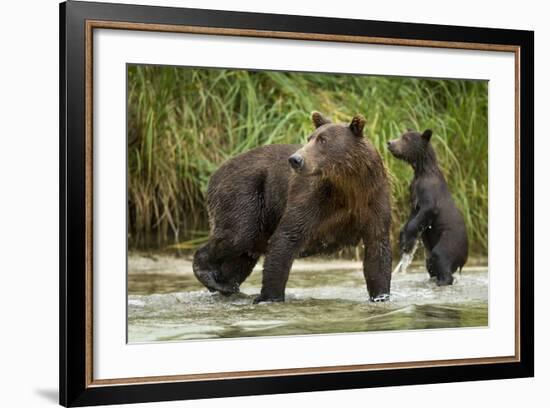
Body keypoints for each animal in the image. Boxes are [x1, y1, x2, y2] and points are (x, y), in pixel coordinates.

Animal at [193, 111, 392, 302]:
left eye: (323, 140)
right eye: (310, 138)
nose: (296, 159)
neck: (349, 186)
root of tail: (216, 172)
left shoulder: (373, 200)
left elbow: (377, 250)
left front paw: (380, 295)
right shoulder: (313, 198)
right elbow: (287, 236)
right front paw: (270, 296)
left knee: (243, 256)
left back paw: (226, 285)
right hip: (244, 193)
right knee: (239, 235)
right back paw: (210, 276)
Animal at [388, 129, 470, 286]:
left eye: (405, 138)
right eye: (401, 135)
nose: (390, 142)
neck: (421, 170)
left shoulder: (428, 189)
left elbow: (428, 210)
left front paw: (407, 241)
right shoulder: (413, 191)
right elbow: (413, 214)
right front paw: (403, 238)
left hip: (451, 240)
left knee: (441, 256)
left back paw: (443, 281)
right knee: (431, 264)